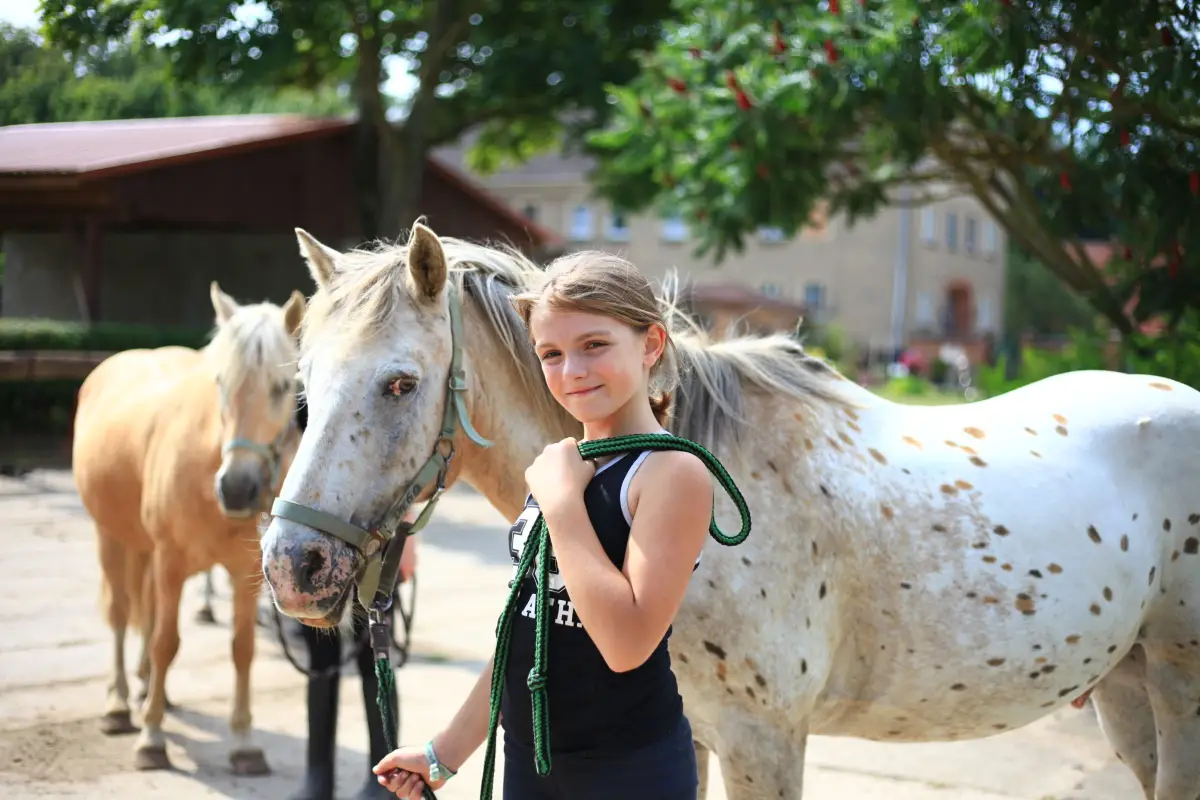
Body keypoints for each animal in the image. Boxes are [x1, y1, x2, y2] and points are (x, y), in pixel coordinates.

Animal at [74, 281, 306, 775]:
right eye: (221, 383)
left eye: (283, 387)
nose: (237, 489)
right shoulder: (170, 561)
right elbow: (166, 642)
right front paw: (152, 738)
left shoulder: (243, 573)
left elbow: (242, 648)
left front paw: (244, 743)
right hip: (111, 538)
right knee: (121, 614)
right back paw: (120, 705)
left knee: (144, 613)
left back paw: (149, 690)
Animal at [260, 222, 1200, 800]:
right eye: (302, 386)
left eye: (400, 382)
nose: (291, 566)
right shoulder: (704, 738)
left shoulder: (764, 741)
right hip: (1126, 687)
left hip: (1177, 685)